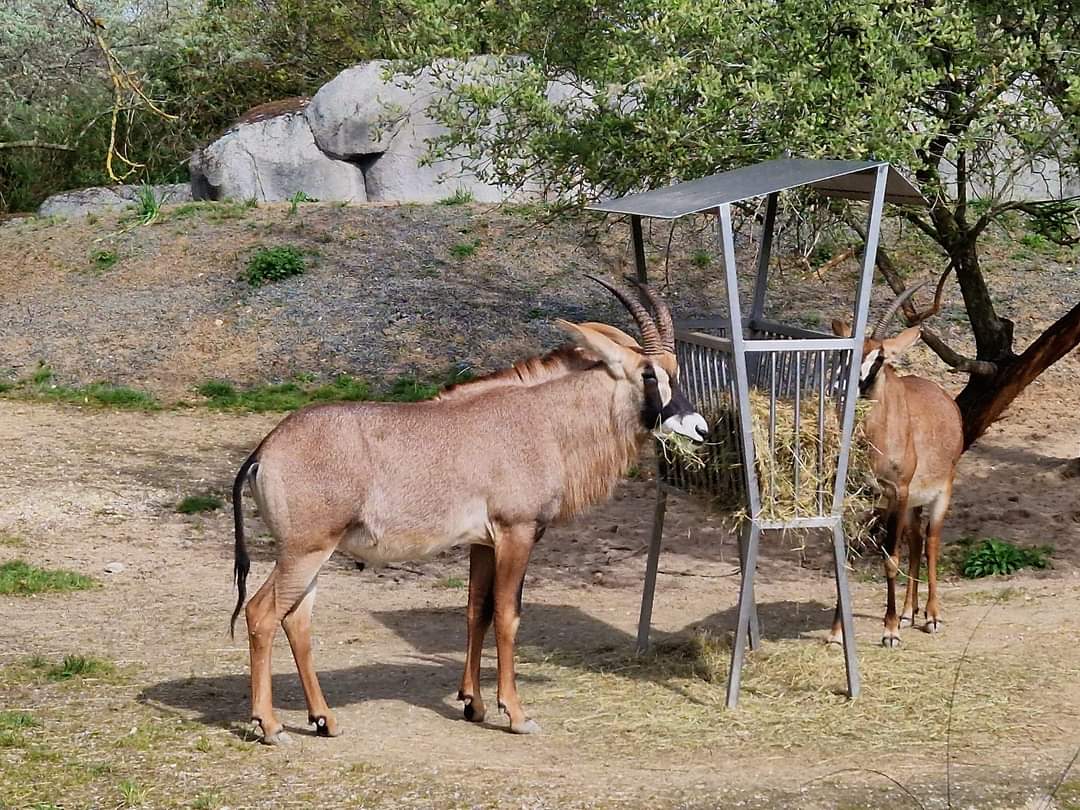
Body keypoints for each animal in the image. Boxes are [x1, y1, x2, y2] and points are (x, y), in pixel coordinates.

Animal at [230, 277, 707, 744]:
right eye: (648, 373)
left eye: (675, 371)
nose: (698, 427)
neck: (542, 419)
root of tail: (264, 451)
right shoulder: (517, 531)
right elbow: (508, 615)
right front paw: (515, 713)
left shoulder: (483, 542)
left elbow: (477, 610)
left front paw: (472, 704)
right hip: (305, 550)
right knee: (261, 613)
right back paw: (269, 725)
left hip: (313, 554)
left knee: (296, 621)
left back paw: (323, 719)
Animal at [829, 285, 964, 648]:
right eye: (848, 355)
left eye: (879, 358)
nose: (849, 387)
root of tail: (946, 400)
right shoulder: (861, 498)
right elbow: (846, 560)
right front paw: (836, 632)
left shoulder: (897, 492)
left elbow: (891, 560)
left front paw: (889, 631)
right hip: (911, 504)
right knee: (916, 541)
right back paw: (907, 612)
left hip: (937, 496)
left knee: (930, 543)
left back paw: (930, 615)